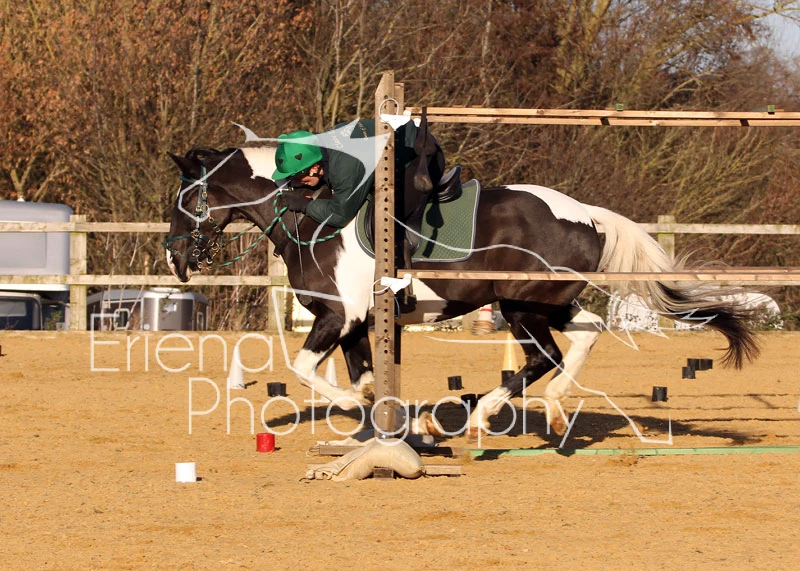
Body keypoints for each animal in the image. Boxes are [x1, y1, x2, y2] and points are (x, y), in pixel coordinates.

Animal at [163, 145, 760, 437]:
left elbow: (310, 372)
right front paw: (402, 421)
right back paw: (554, 409)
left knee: (541, 357)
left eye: (186, 198)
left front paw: (396, 418)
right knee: (586, 334)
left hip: (521, 306)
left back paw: (485, 415)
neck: (311, 218)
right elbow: (365, 385)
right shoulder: (355, 327)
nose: (176, 258)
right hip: (548, 303)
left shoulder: (339, 319)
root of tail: (588, 215)